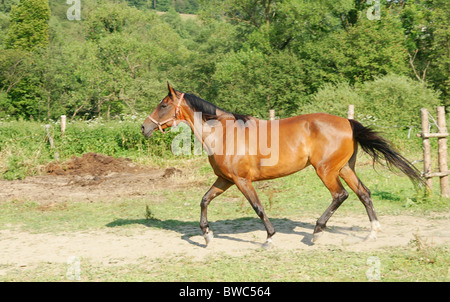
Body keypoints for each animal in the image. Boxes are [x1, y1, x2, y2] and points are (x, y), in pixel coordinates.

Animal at [142, 83, 424, 248]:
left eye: (163, 104)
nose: (144, 128)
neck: (223, 134)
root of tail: (348, 122)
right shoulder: (225, 180)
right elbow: (204, 200)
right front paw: (207, 235)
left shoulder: (242, 181)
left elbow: (258, 207)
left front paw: (269, 237)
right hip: (345, 168)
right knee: (364, 193)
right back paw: (372, 233)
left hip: (326, 170)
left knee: (340, 195)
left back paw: (316, 232)